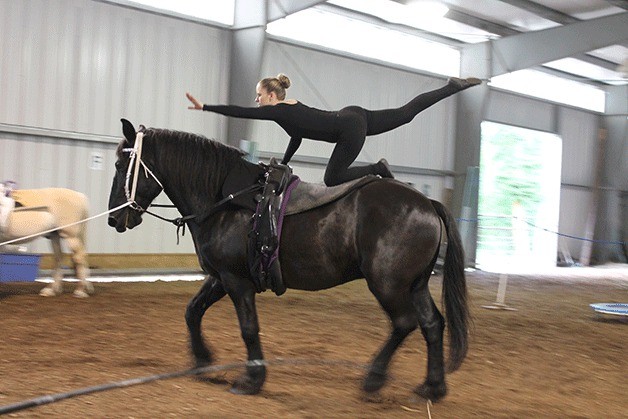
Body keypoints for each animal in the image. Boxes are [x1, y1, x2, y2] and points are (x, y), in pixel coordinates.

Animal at [108, 120, 468, 402]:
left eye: (121, 167)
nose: (114, 218)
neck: (225, 201)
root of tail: (428, 204)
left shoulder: (236, 281)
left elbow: (249, 328)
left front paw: (251, 379)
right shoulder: (220, 277)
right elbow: (192, 311)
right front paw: (203, 361)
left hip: (388, 285)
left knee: (404, 323)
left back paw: (374, 378)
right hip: (415, 285)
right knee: (432, 325)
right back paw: (432, 387)